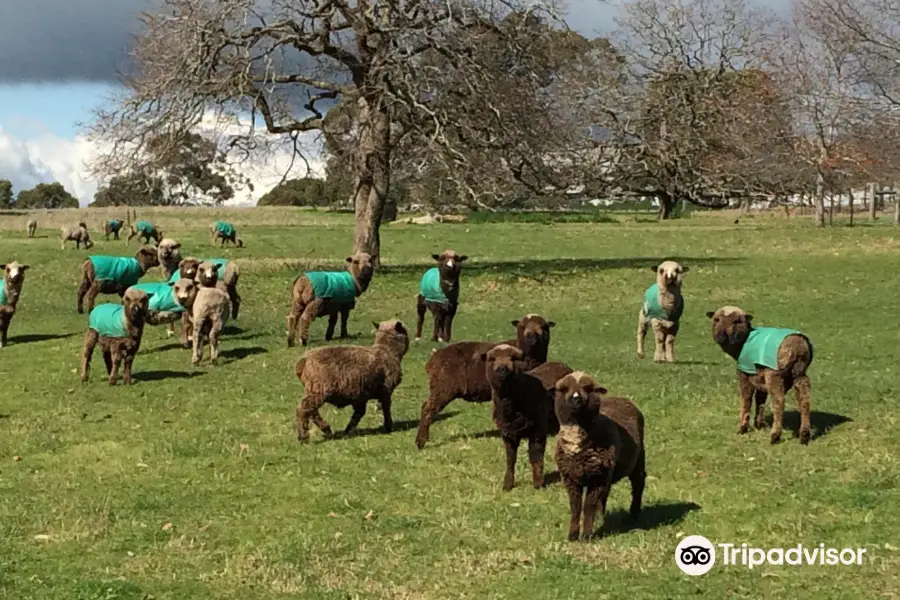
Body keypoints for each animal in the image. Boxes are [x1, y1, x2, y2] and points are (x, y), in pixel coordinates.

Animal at [414, 314, 556, 450]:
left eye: (543, 327)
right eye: (522, 326)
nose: (532, 339)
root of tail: (431, 361)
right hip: (444, 387)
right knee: (427, 408)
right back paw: (420, 442)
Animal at [478, 344, 568, 490]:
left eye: (514, 358)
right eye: (492, 359)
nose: (502, 370)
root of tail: (562, 364)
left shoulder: (538, 430)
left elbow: (535, 455)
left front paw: (538, 483)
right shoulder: (507, 434)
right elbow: (510, 458)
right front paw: (507, 484)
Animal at [556, 372, 648, 540]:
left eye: (588, 388)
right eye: (564, 389)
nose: (576, 399)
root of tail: (621, 398)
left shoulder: (597, 478)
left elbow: (588, 506)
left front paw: (586, 536)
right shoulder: (570, 477)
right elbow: (575, 506)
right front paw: (572, 535)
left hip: (638, 458)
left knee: (638, 483)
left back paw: (634, 513)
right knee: (605, 494)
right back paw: (600, 517)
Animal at [704, 304, 816, 446]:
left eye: (737, 321)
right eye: (716, 319)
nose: (722, 336)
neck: (742, 342)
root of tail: (798, 346)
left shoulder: (745, 373)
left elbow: (746, 399)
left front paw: (742, 428)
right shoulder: (759, 378)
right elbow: (760, 400)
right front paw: (759, 424)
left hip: (774, 373)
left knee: (779, 401)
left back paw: (775, 436)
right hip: (800, 373)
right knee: (804, 400)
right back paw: (804, 435)